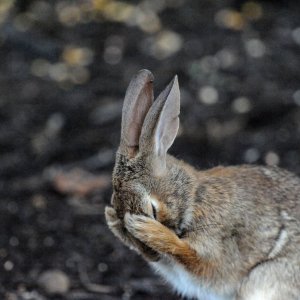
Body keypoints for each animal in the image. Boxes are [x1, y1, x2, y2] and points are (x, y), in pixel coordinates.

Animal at [105, 69, 300, 298]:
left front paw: (147, 230)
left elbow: (192, 257)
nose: (152, 255)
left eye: (152, 209)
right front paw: (112, 220)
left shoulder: (216, 248)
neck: (193, 198)